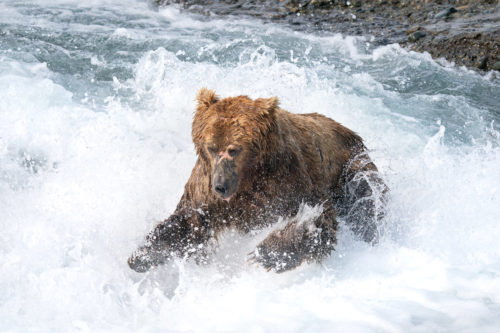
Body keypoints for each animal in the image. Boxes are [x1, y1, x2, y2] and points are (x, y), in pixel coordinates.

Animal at [128, 88, 386, 272]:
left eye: (233, 149)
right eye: (211, 147)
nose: (220, 186)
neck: (249, 178)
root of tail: (348, 130)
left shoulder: (288, 181)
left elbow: (316, 215)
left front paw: (265, 254)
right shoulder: (205, 187)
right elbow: (191, 220)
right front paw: (142, 254)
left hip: (352, 169)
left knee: (366, 203)